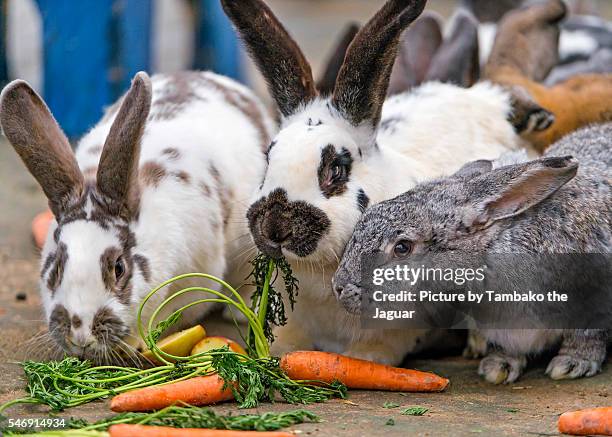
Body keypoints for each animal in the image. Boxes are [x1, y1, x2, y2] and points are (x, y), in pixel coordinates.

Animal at [334, 122, 612, 382]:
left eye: (402, 248)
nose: (339, 287)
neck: (489, 252)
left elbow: (586, 336)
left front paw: (570, 365)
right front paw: (497, 368)